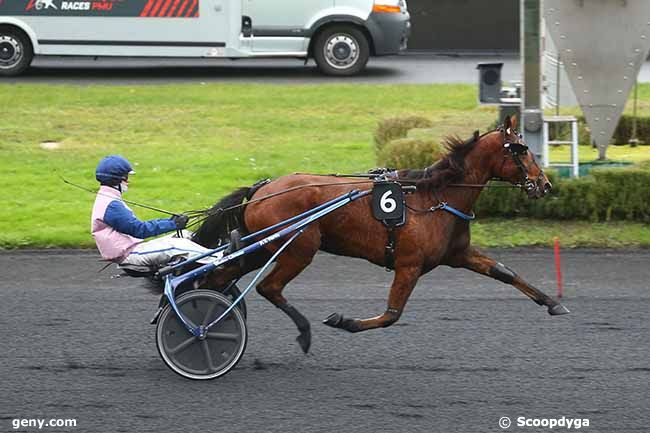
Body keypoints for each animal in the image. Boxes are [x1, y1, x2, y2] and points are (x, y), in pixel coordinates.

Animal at [191, 116, 568, 352]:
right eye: (521, 150)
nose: (544, 184)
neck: (436, 197)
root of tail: (262, 188)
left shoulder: (457, 254)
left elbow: (505, 272)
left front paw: (553, 303)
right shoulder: (409, 264)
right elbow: (391, 314)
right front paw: (344, 321)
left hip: (262, 246)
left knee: (219, 275)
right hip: (298, 247)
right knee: (267, 287)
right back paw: (301, 331)